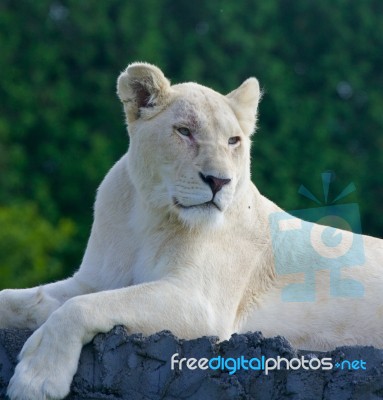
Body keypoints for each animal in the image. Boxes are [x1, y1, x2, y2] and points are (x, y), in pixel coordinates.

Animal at [0, 62, 383, 400]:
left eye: (233, 140)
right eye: (184, 131)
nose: (218, 181)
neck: (149, 216)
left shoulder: (199, 302)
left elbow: (80, 307)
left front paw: (37, 379)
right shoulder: (94, 279)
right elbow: (30, 298)